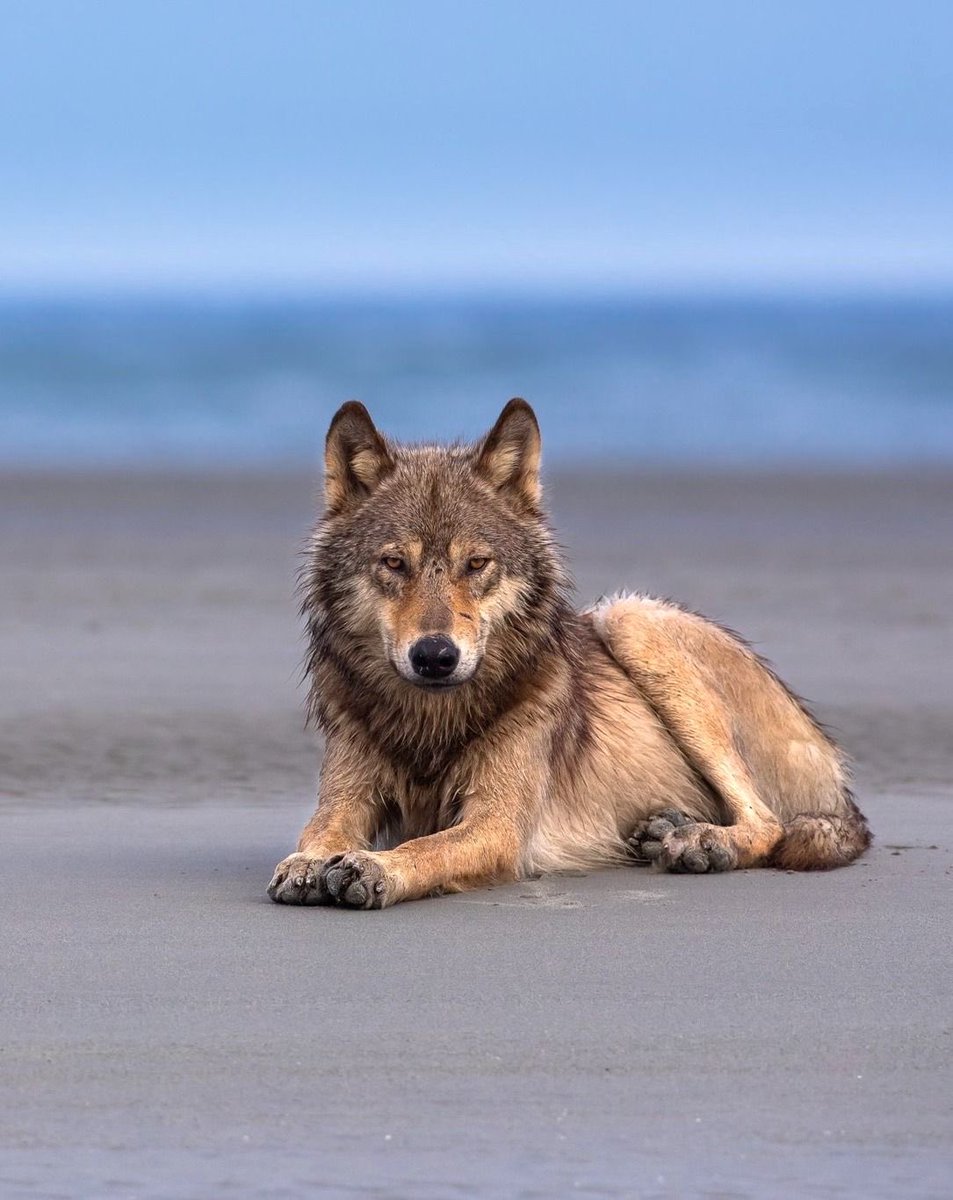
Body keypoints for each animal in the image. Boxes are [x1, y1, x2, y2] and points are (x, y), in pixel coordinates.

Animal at [268, 399, 870, 909]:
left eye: (476, 564)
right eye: (394, 563)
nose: (435, 656)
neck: (428, 723)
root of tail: (842, 788)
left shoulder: (496, 827)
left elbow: (424, 848)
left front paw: (374, 867)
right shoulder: (348, 795)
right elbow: (319, 829)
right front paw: (307, 863)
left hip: (630, 616)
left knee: (769, 824)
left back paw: (700, 843)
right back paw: (666, 829)